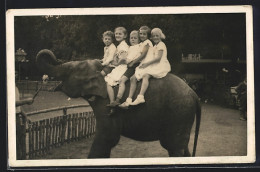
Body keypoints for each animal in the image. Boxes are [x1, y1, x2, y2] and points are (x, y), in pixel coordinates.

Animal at [35, 49, 201, 158]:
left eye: (70, 71)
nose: (56, 58)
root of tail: (194, 94)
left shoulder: (107, 104)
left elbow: (107, 137)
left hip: (179, 112)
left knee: (173, 146)